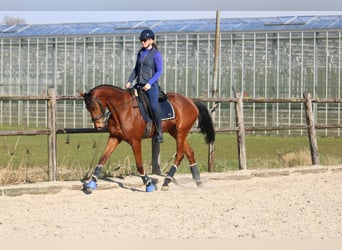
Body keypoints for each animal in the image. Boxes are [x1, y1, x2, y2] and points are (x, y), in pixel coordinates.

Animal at [80, 84, 215, 193]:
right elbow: (102, 158)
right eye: (87, 108)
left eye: (94, 107)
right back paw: (198, 181)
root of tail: (191, 101)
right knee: (190, 153)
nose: (98, 126)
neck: (123, 110)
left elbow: (139, 165)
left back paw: (166, 182)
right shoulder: (114, 137)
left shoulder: (135, 141)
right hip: (175, 132)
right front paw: (91, 184)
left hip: (181, 133)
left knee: (180, 155)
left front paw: (149, 184)